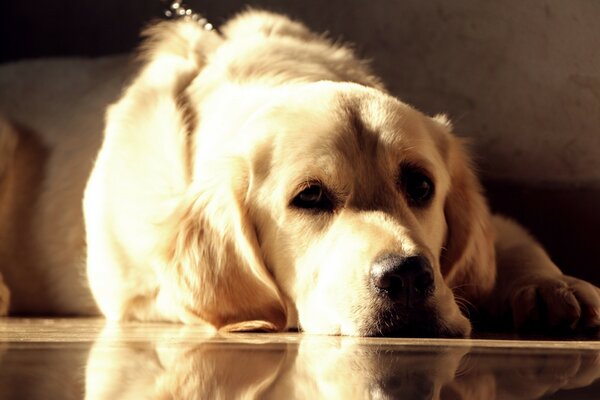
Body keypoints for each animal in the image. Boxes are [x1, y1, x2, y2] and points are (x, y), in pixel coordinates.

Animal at [1, 8, 600, 334]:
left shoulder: (488, 223)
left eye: (421, 185)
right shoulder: (132, 289)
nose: (408, 277)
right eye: (309, 198)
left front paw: (553, 286)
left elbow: (513, 244)